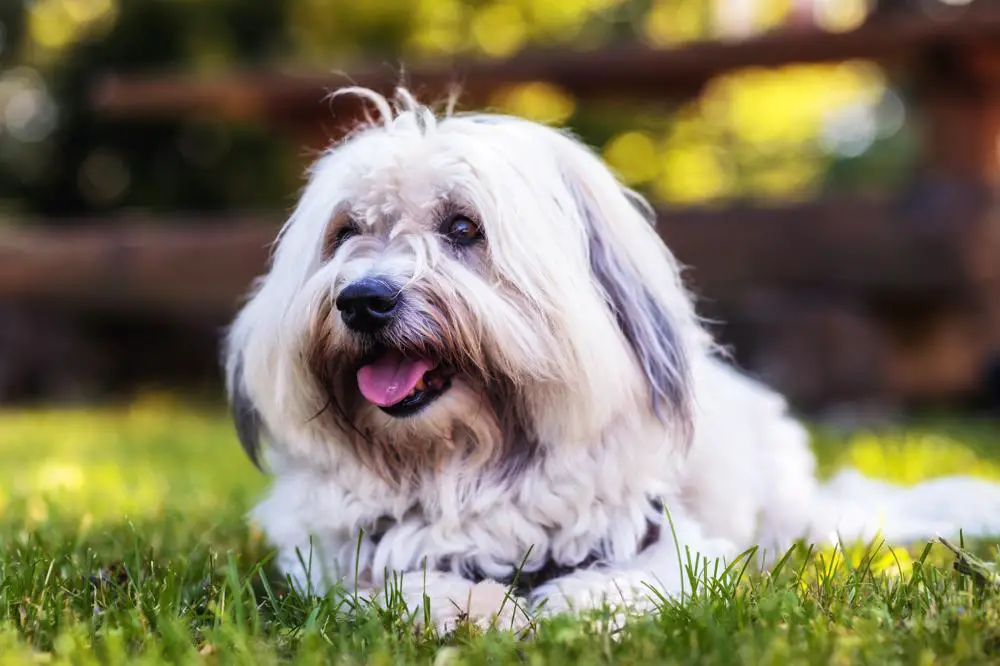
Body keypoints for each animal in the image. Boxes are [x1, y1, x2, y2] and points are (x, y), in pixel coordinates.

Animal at [225, 87, 1000, 628]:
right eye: (345, 232)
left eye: (463, 227)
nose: (363, 300)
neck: (460, 467)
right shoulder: (330, 558)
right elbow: (396, 581)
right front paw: (465, 607)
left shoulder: (668, 545)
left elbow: (631, 582)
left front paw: (575, 608)